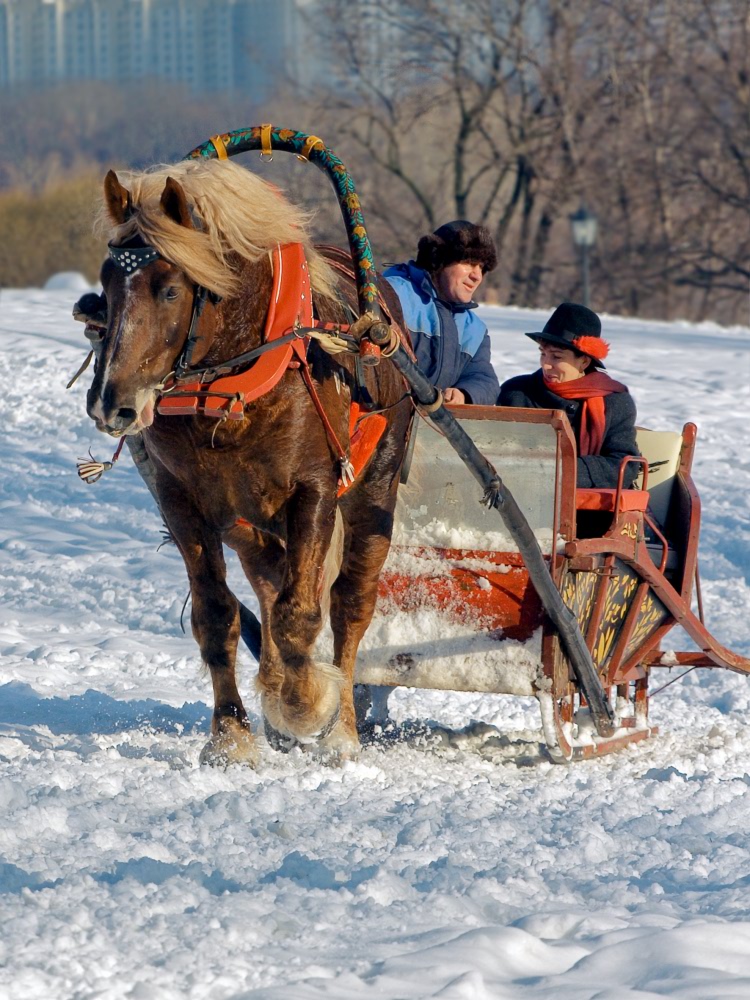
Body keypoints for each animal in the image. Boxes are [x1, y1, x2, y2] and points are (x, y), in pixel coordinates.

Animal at [89, 158, 418, 764]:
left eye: (169, 289)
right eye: (106, 281)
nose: (111, 402)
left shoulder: (314, 489)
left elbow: (299, 615)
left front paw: (306, 704)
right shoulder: (182, 500)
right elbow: (215, 614)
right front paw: (231, 734)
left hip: (373, 489)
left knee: (349, 603)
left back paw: (342, 728)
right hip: (248, 522)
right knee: (267, 581)